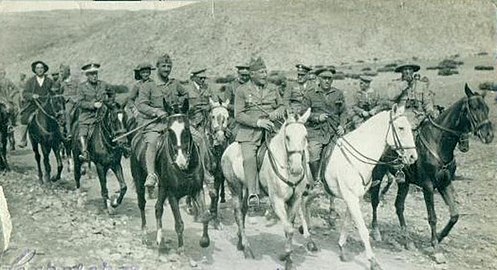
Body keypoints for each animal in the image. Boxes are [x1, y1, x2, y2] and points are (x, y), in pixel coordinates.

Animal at [130, 99, 209, 253]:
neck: (186, 169)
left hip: (162, 186)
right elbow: (179, 223)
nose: (181, 161)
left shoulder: (197, 190)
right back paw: (145, 236)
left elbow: (205, 216)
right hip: (139, 180)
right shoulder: (173, 194)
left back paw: (160, 240)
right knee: (142, 204)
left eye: (186, 130)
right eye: (170, 131)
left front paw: (204, 241)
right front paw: (181, 247)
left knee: (158, 208)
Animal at [222, 108, 314, 268]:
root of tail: (228, 148)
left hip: (248, 188)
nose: (297, 169)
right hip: (234, 188)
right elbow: (289, 229)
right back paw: (247, 248)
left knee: (244, 210)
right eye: (287, 137)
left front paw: (289, 260)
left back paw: (240, 242)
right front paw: (285, 255)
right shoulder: (277, 201)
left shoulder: (295, 201)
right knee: (238, 214)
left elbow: (289, 228)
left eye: (305, 136)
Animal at [324, 104, 416, 270]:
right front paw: (373, 261)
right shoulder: (351, 198)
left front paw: (342, 249)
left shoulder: (354, 198)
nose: (413, 156)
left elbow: (347, 223)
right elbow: (362, 229)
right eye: (401, 128)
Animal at [368, 85, 492, 262]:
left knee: (399, 206)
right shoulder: (428, 186)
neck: (438, 143)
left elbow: (455, 215)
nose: (489, 135)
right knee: (375, 200)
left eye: (487, 108)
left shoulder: (445, 183)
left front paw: (438, 237)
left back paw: (408, 240)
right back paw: (376, 231)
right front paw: (436, 248)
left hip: (404, 181)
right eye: (474, 107)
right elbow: (432, 217)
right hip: (378, 172)